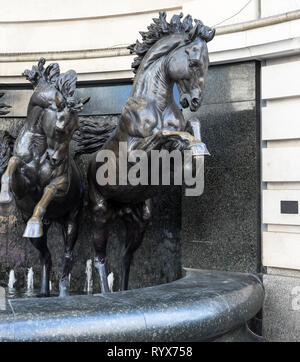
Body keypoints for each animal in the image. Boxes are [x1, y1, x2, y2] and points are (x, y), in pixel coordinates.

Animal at [0, 58, 89, 296]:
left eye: (76, 129)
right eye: (59, 129)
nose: (56, 160)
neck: (40, 148)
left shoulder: (62, 183)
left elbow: (49, 189)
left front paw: (34, 221)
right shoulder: (23, 186)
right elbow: (13, 165)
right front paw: (4, 197)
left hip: (72, 220)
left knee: (67, 257)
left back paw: (63, 292)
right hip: (40, 236)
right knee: (46, 256)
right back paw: (42, 292)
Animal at [75, 12, 216, 294]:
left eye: (207, 64)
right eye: (193, 63)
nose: (195, 101)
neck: (156, 105)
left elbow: (191, 128)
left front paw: (196, 153)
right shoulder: (135, 155)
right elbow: (165, 135)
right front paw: (193, 146)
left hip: (140, 220)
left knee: (125, 257)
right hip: (100, 213)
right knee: (99, 258)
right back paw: (106, 296)